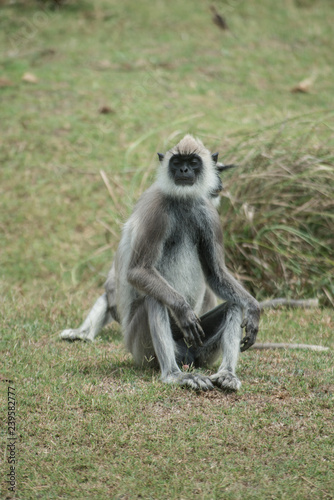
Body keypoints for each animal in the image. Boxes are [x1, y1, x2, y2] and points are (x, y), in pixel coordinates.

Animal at [61, 135, 262, 392]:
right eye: (177, 162)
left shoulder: (209, 214)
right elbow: (138, 271)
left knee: (234, 305)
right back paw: (174, 375)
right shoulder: (156, 211)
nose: (184, 170)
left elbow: (216, 275)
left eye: (193, 162)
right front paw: (183, 309)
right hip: (140, 347)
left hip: (200, 351)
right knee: (154, 299)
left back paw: (226, 373)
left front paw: (254, 308)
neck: (183, 200)